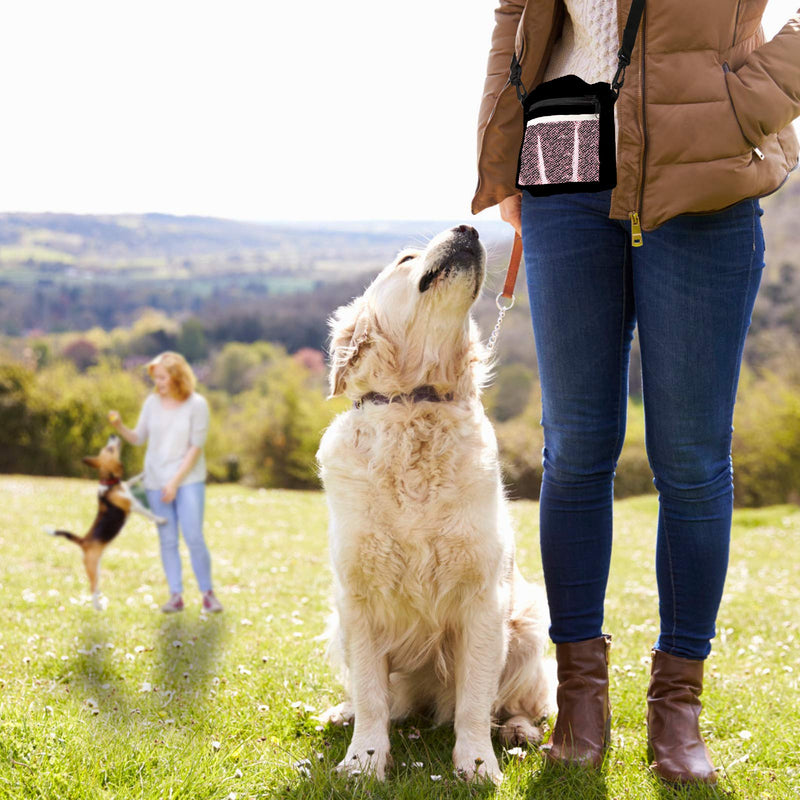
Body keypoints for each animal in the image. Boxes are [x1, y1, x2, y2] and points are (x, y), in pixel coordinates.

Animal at [45, 434, 166, 608]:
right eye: (109, 449)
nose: (113, 435)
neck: (110, 484)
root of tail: (83, 541)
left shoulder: (126, 487)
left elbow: (130, 480)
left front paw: (143, 474)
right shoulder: (133, 505)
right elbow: (148, 513)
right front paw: (161, 520)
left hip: (98, 567)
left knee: (95, 587)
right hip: (92, 568)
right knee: (92, 587)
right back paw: (97, 606)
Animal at [316, 223, 552, 780]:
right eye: (405, 258)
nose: (469, 227)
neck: (416, 405)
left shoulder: (485, 599)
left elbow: (474, 700)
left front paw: (478, 765)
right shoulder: (357, 599)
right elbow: (372, 695)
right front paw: (363, 761)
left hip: (530, 622)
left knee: (526, 703)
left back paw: (517, 730)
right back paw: (343, 713)